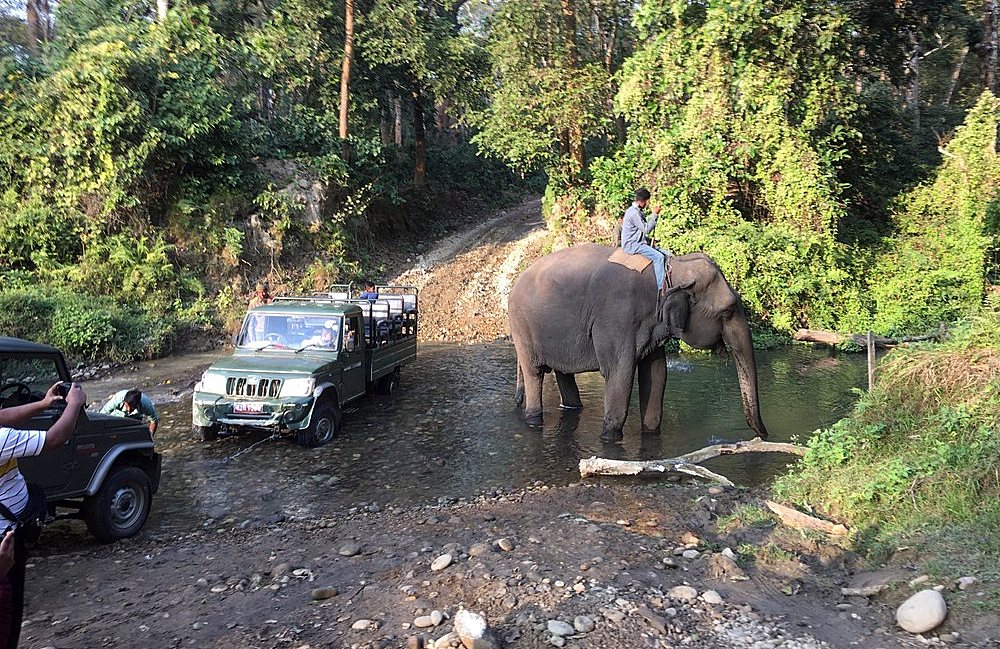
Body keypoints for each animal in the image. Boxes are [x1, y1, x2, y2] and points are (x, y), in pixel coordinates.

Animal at [508, 243, 769, 440]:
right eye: (728, 310)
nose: (763, 435)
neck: (672, 268)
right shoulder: (617, 317)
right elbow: (619, 374)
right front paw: (609, 437)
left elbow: (656, 373)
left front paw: (650, 432)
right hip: (523, 327)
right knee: (534, 373)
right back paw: (533, 417)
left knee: (564, 373)